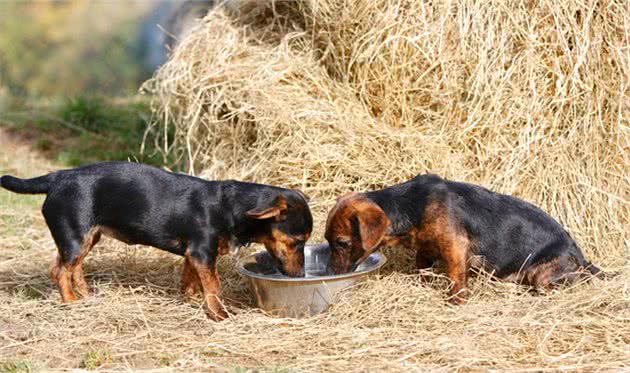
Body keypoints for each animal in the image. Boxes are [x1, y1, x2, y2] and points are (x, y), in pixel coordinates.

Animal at [0, 161, 314, 318]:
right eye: (297, 241)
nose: (300, 275)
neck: (230, 206)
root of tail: (56, 178)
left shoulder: (193, 255)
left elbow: (191, 281)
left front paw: (189, 299)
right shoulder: (202, 252)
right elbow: (213, 286)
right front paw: (218, 313)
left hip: (86, 237)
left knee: (73, 268)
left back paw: (86, 296)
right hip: (76, 237)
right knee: (59, 271)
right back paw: (70, 302)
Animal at [328, 174, 604, 302]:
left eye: (342, 243)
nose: (331, 272)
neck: (413, 205)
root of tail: (582, 258)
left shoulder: (455, 248)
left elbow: (456, 280)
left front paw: (455, 303)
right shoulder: (425, 249)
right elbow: (422, 269)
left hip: (542, 275)